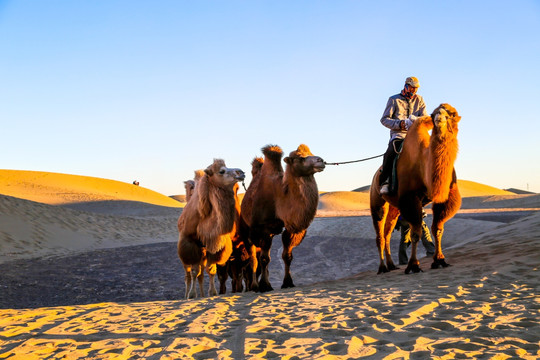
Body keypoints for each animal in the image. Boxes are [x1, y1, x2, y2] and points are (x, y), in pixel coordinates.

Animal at [177, 160, 245, 298]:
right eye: (221, 171)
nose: (241, 172)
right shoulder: (189, 242)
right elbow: (194, 271)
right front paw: (192, 294)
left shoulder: (215, 244)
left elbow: (211, 270)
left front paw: (212, 292)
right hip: (186, 252)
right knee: (188, 274)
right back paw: (186, 294)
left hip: (202, 251)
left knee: (201, 274)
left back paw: (202, 294)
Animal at [240, 144, 324, 292]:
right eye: (300, 158)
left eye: (312, 152)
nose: (321, 161)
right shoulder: (264, 228)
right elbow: (264, 259)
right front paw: (265, 286)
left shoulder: (290, 228)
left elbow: (287, 256)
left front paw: (288, 282)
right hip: (247, 229)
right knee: (253, 258)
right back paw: (254, 286)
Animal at [370, 102, 462, 274]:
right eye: (433, 114)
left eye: (452, 114)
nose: (439, 118)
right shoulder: (410, 197)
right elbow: (415, 233)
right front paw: (413, 265)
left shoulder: (445, 197)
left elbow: (437, 229)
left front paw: (439, 260)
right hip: (377, 200)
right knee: (379, 235)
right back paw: (382, 268)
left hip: (395, 207)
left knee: (387, 234)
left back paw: (391, 265)